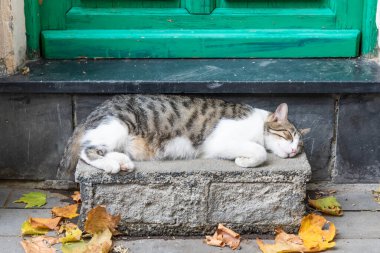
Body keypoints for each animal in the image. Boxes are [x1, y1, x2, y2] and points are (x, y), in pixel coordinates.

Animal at [56, 95, 308, 180]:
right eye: (288, 134)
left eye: (299, 145)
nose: (293, 151)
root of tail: (92, 114)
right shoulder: (220, 142)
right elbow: (259, 151)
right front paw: (244, 161)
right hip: (117, 125)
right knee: (87, 151)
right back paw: (111, 165)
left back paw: (122, 161)